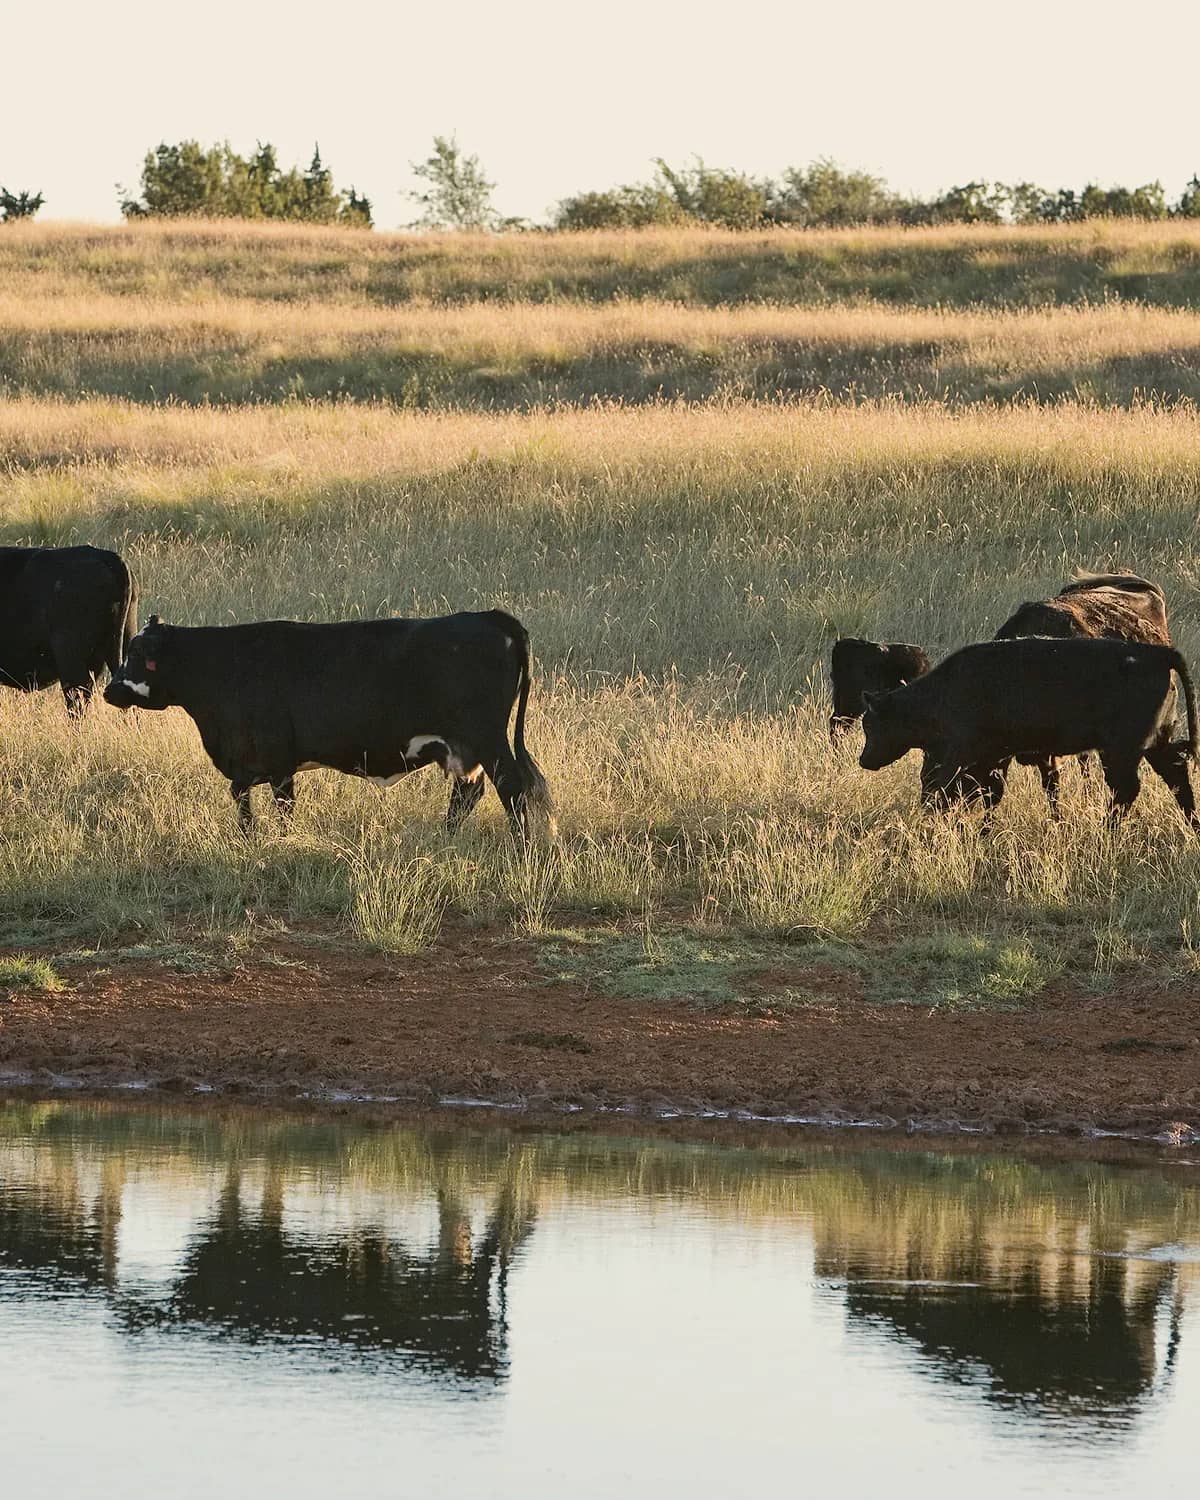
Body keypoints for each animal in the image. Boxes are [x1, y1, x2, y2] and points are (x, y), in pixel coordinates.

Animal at [103, 609, 555, 839]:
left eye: (138, 653)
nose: (110, 691)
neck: (224, 665)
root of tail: (489, 617)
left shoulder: (278, 762)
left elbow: (283, 807)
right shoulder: (247, 765)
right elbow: (242, 801)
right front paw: (248, 839)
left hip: (488, 739)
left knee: (512, 788)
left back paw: (521, 846)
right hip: (464, 748)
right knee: (469, 792)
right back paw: (444, 838)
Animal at [859, 636, 1198, 827]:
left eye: (872, 724)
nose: (864, 759)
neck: (943, 691)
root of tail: (1155, 653)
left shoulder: (962, 755)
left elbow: (952, 791)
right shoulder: (994, 758)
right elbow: (989, 794)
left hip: (1120, 751)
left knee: (1126, 789)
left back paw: (1107, 829)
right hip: (1155, 744)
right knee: (1176, 776)